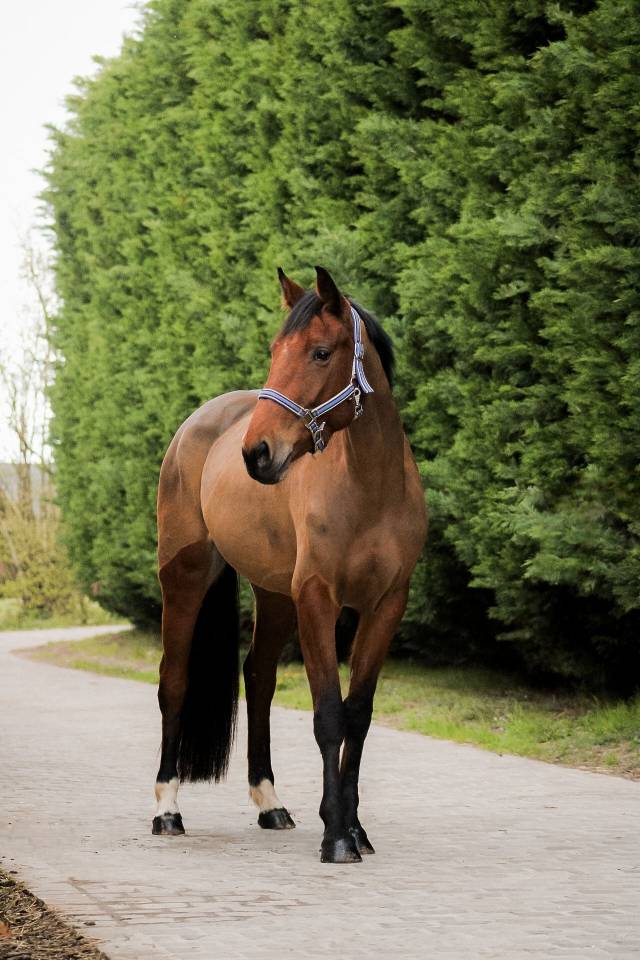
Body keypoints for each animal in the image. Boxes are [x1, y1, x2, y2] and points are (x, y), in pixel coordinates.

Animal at [153, 266, 427, 863]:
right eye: (275, 350)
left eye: (321, 353)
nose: (256, 453)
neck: (371, 489)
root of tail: (196, 426)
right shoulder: (318, 598)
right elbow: (328, 715)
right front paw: (337, 837)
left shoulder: (386, 605)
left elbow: (358, 714)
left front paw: (354, 826)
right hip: (184, 579)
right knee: (174, 682)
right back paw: (166, 809)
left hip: (275, 595)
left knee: (258, 678)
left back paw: (270, 804)